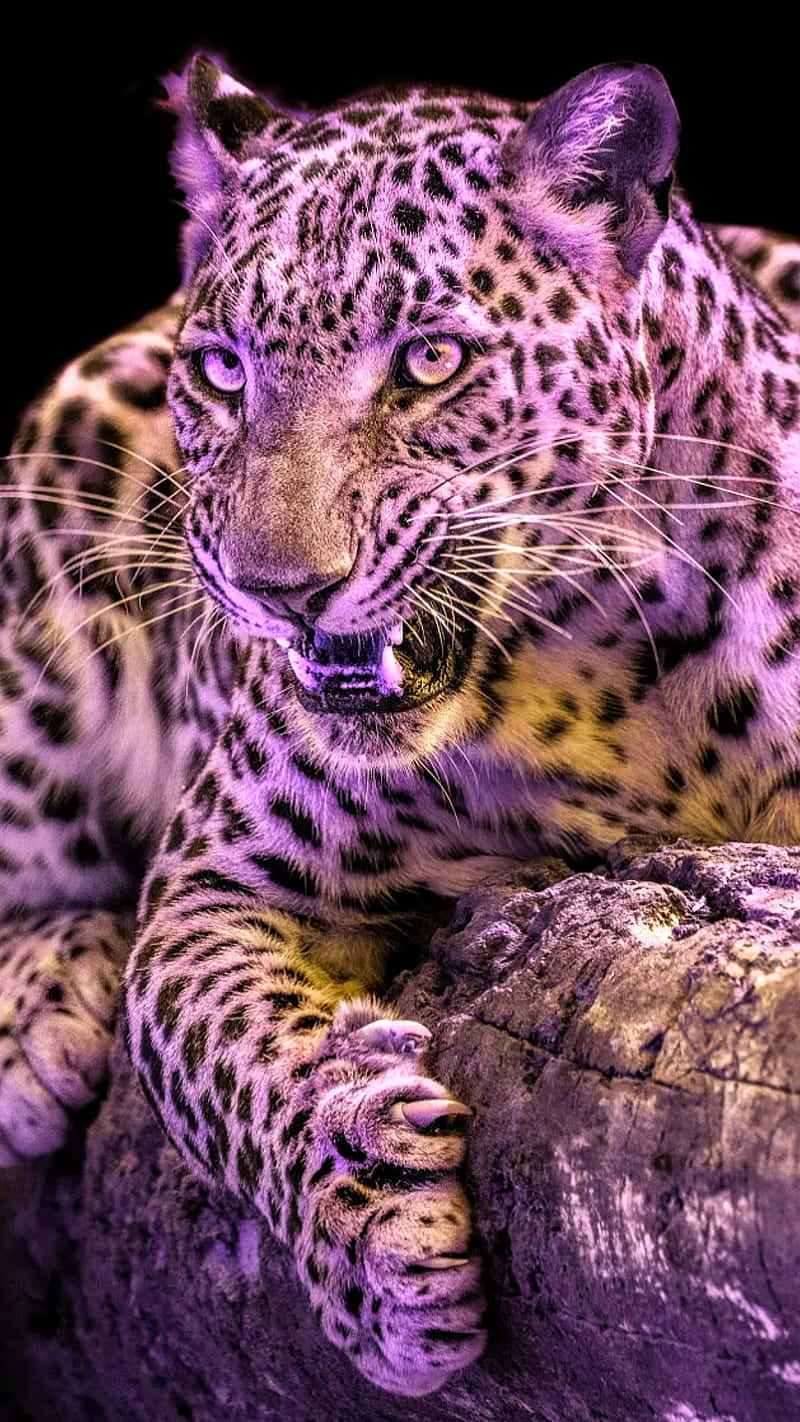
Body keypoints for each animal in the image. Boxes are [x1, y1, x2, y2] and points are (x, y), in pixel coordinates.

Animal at [1, 54, 799, 1398]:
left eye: (428, 360)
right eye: (223, 370)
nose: (279, 590)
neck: (612, 666)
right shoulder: (213, 885)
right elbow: (216, 1051)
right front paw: (372, 1213)